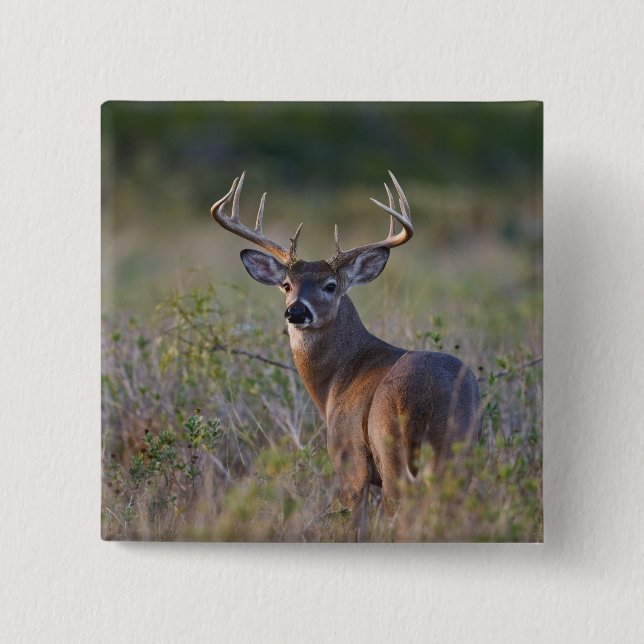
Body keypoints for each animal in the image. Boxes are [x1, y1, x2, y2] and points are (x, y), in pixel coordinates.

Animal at [210, 171, 482, 540]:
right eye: (286, 285)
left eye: (330, 285)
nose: (296, 312)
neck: (336, 381)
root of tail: (426, 394)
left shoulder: (348, 458)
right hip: (459, 452)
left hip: (391, 451)